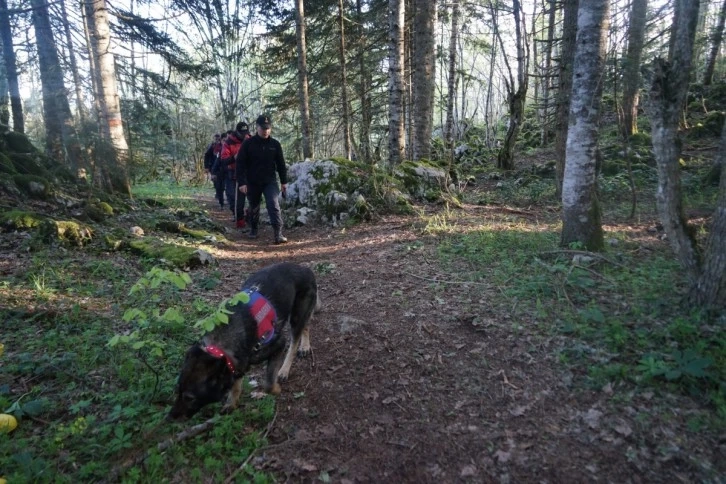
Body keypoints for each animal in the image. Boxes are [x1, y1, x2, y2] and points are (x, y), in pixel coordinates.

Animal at [171, 262, 322, 422]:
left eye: (189, 398)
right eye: (177, 390)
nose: (170, 417)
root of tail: (305, 269)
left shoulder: (278, 344)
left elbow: (268, 384)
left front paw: (276, 389)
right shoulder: (237, 363)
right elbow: (236, 383)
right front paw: (232, 403)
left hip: (296, 317)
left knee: (294, 342)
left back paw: (285, 368)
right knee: (306, 325)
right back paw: (305, 346)